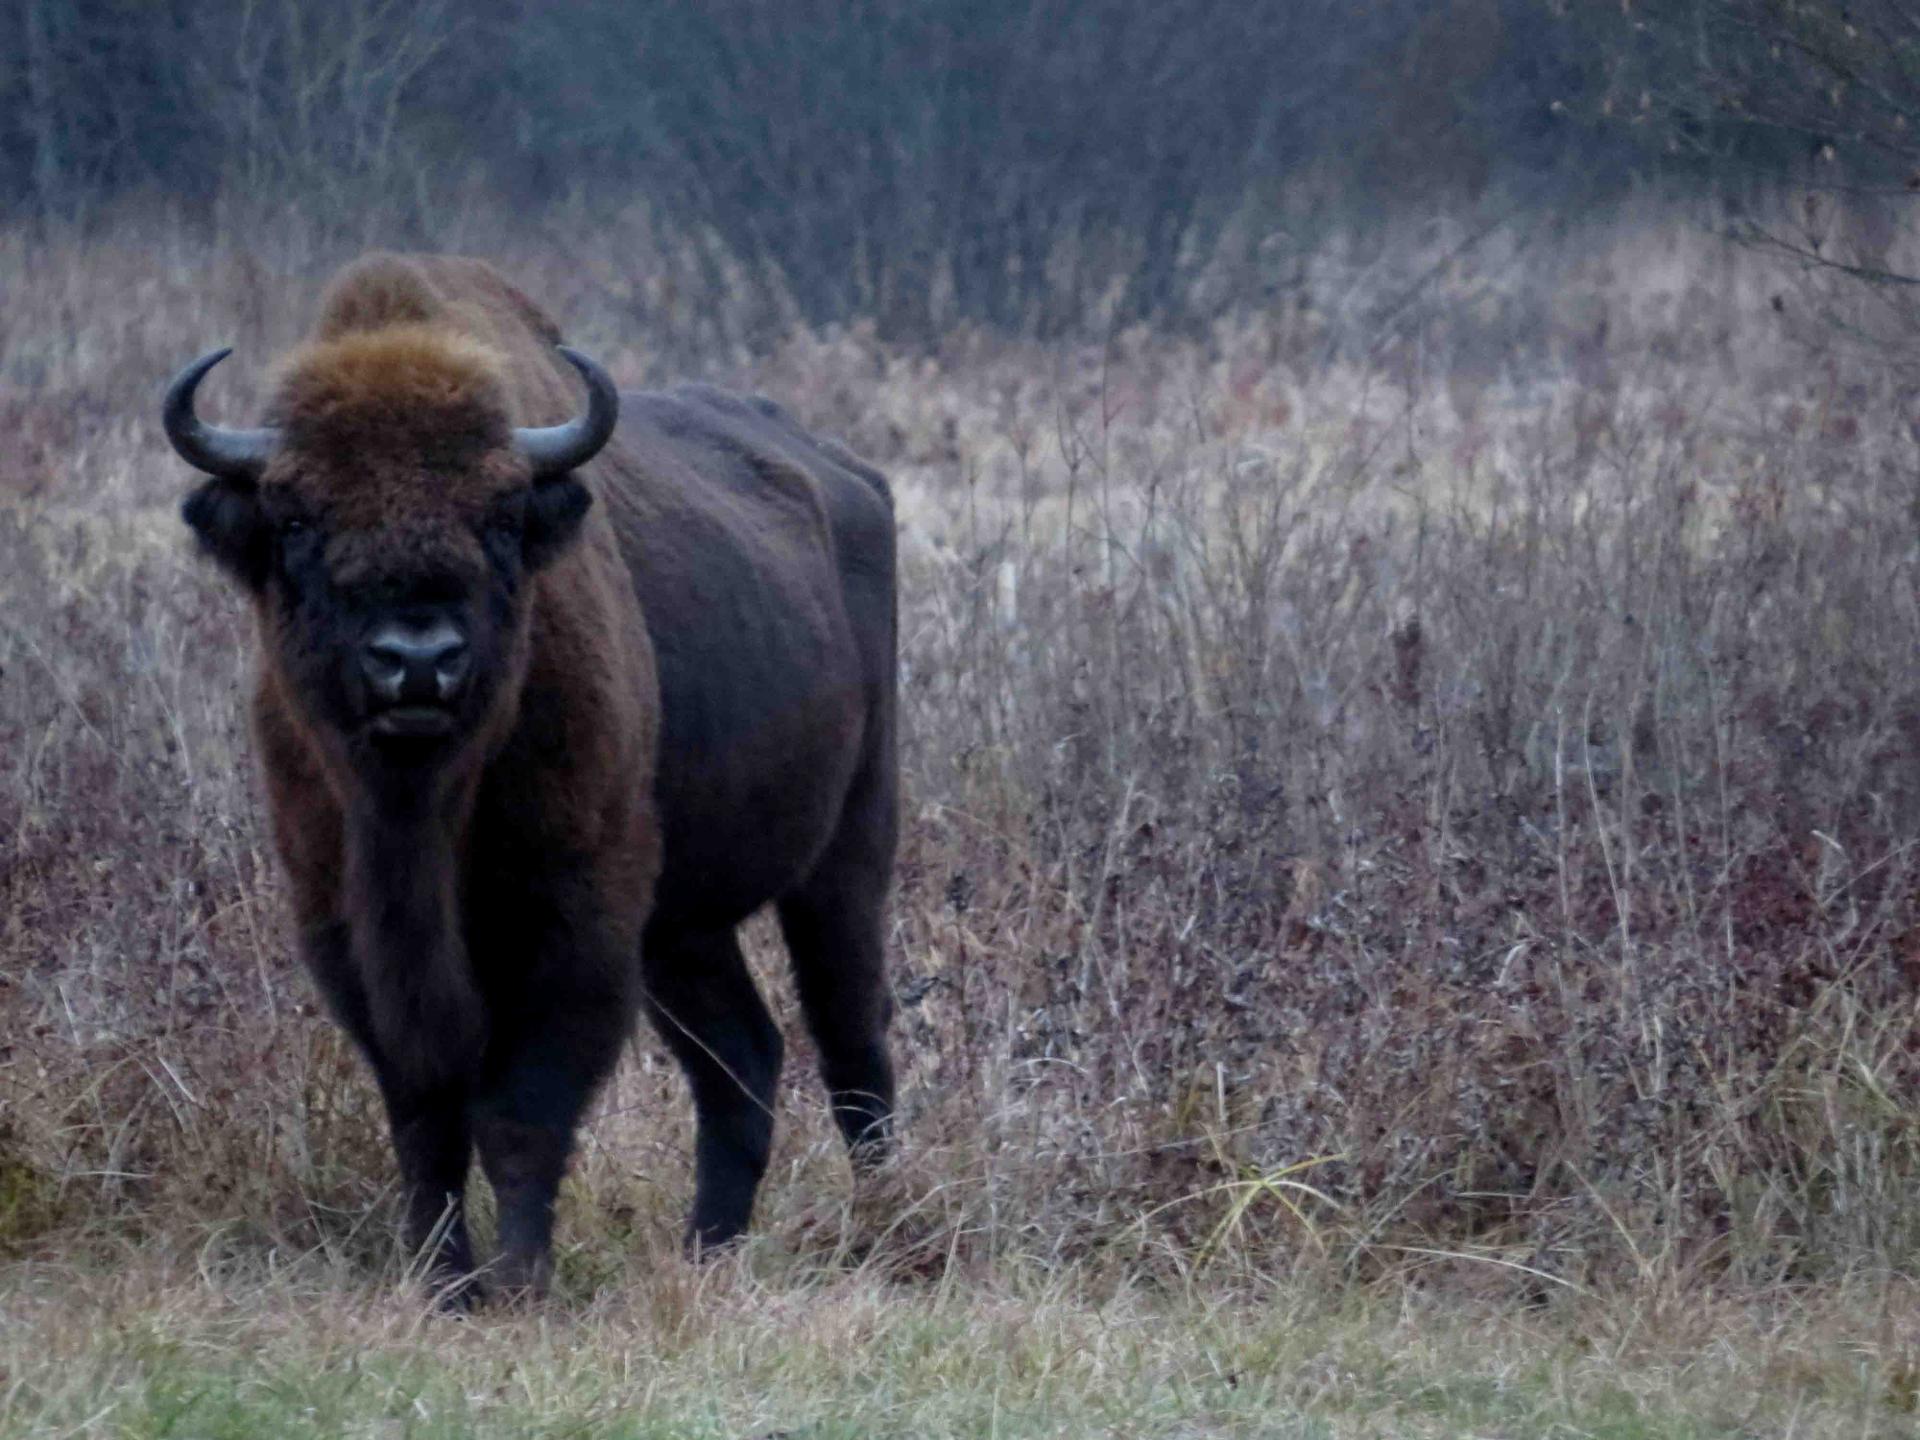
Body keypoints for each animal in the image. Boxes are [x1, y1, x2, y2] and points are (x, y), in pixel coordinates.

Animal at [165, 253, 898, 1305]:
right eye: (296, 517)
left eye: (501, 515)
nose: (417, 661)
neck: (423, 811)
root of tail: (849, 478)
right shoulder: (346, 927)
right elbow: (424, 1117)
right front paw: (442, 1285)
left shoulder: (573, 915)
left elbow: (521, 1110)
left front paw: (518, 1282)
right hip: (683, 929)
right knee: (743, 1058)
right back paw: (707, 1252)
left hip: (845, 857)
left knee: (850, 1036)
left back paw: (884, 1220)